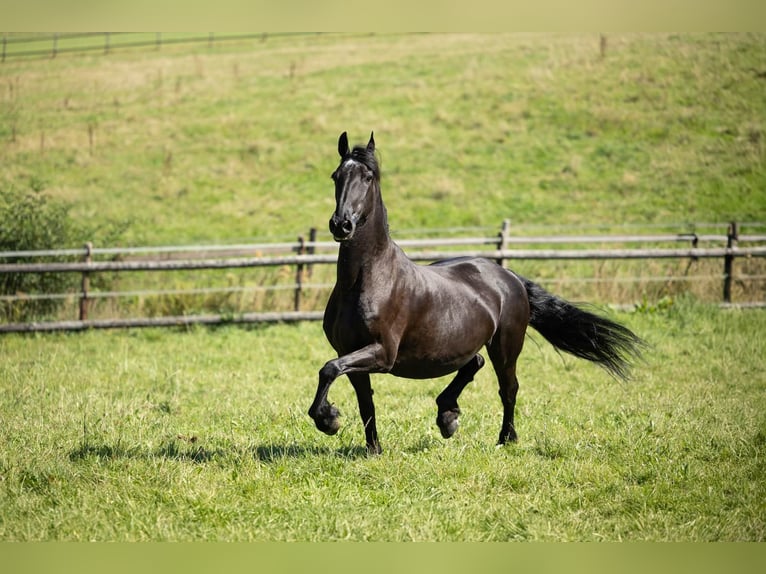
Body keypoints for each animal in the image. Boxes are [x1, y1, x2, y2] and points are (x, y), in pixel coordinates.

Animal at [308, 131, 644, 455]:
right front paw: (371, 447)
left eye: (368, 177)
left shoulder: (383, 353)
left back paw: (505, 438)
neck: (366, 282)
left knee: (508, 388)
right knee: (475, 363)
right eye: (336, 175)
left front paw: (329, 420)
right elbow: (361, 398)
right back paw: (448, 417)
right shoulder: (351, 352)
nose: (341, 225)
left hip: (506, 347)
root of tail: (508, 276)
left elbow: (328, 369)